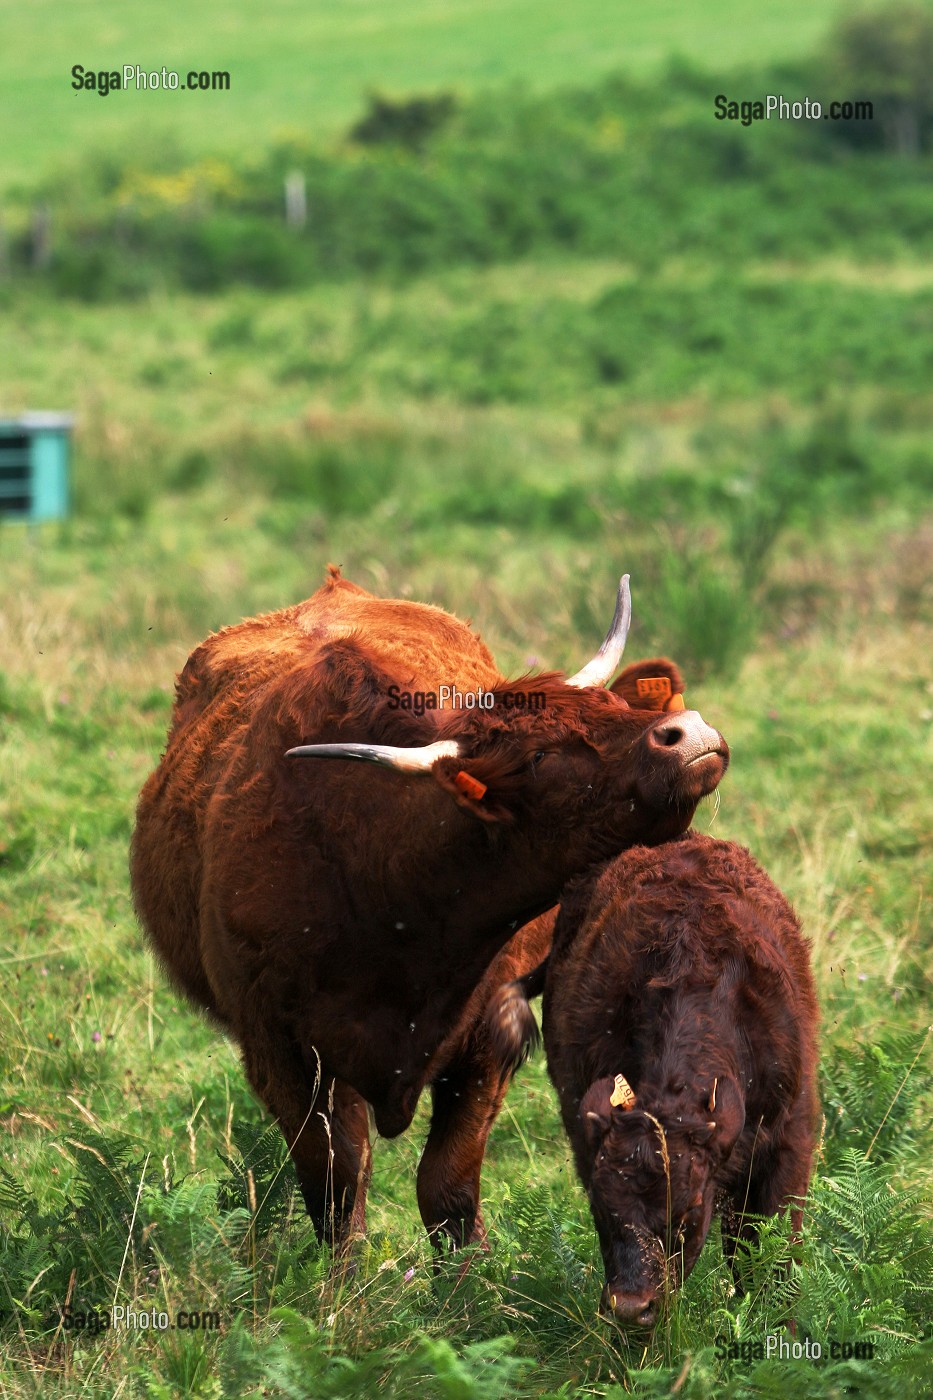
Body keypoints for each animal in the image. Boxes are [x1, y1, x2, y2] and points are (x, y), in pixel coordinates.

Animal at [130, 566, 729, 1249]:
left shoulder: (490, 1038)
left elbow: (447, 1189)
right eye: (539, 757)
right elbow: (338, 1191)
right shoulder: (282, 1054)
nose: (687, 732)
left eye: (617, 708)